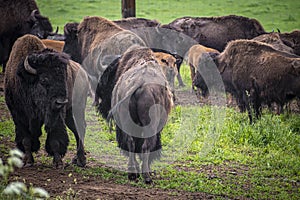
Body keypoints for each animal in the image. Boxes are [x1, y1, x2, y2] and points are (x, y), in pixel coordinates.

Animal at [4, 34, 88, 167]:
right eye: (44, 79)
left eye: (64, 78)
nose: (61, 102)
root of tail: (83, 72)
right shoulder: (19, 115)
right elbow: (26, 140)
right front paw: (28, 161)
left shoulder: (55, 116)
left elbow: (55, 139)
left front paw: (58, 163)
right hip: (70, 114)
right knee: (76, 129)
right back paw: (77, 159)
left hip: (77, 109)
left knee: (81, 128)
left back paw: (81, 160)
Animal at [95, 47, 175, 184]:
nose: (100, 105)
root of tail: (139, 82)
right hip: (149, 127)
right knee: (145, 146)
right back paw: (146, 176)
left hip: (128, 123)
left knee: (131, 143)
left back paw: (132, 173)